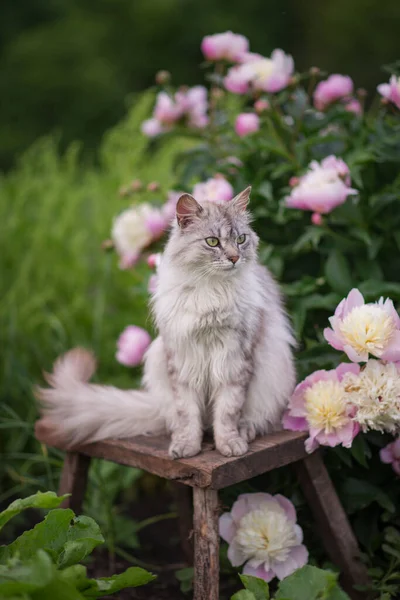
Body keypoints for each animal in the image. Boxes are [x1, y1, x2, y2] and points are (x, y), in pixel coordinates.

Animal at [34, 188, 296, 460]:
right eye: (213, 242)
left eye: (241, 239)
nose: (235, 258)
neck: (212, 291)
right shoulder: (182, 362)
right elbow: (188, 415)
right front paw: (187, 446)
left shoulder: (234, 361)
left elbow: (227, 413)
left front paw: (230, 444)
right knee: (184, 421)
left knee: (252, 419)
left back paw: (244, 432)